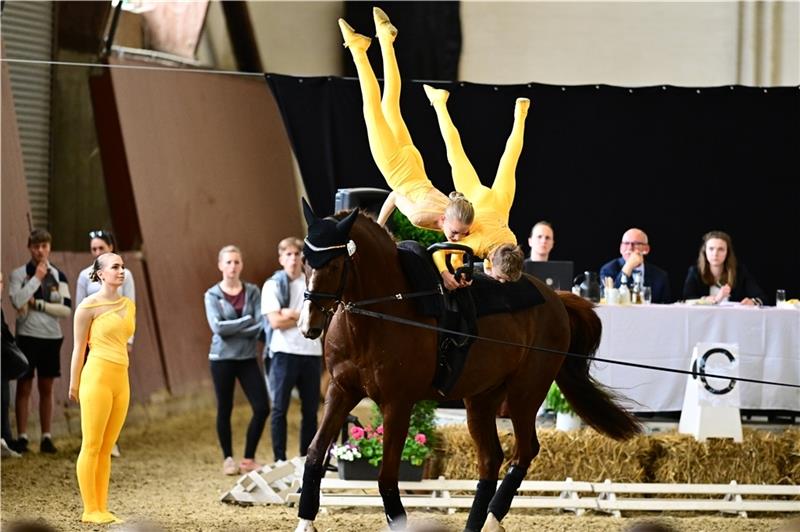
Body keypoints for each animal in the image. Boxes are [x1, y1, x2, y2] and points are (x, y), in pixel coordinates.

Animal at [296, 202, 640, 528]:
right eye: (303, 261)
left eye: (335, 264)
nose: (308, 326)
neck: (381, 310)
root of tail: (555, 297)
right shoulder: (341, 391)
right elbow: (314, 455)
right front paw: (305, 521)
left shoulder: (397, 403)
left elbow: (387, 477)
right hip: (482, 398)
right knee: (491, 459)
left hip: (525, 393)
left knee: (525, 451)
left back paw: (492, 519)